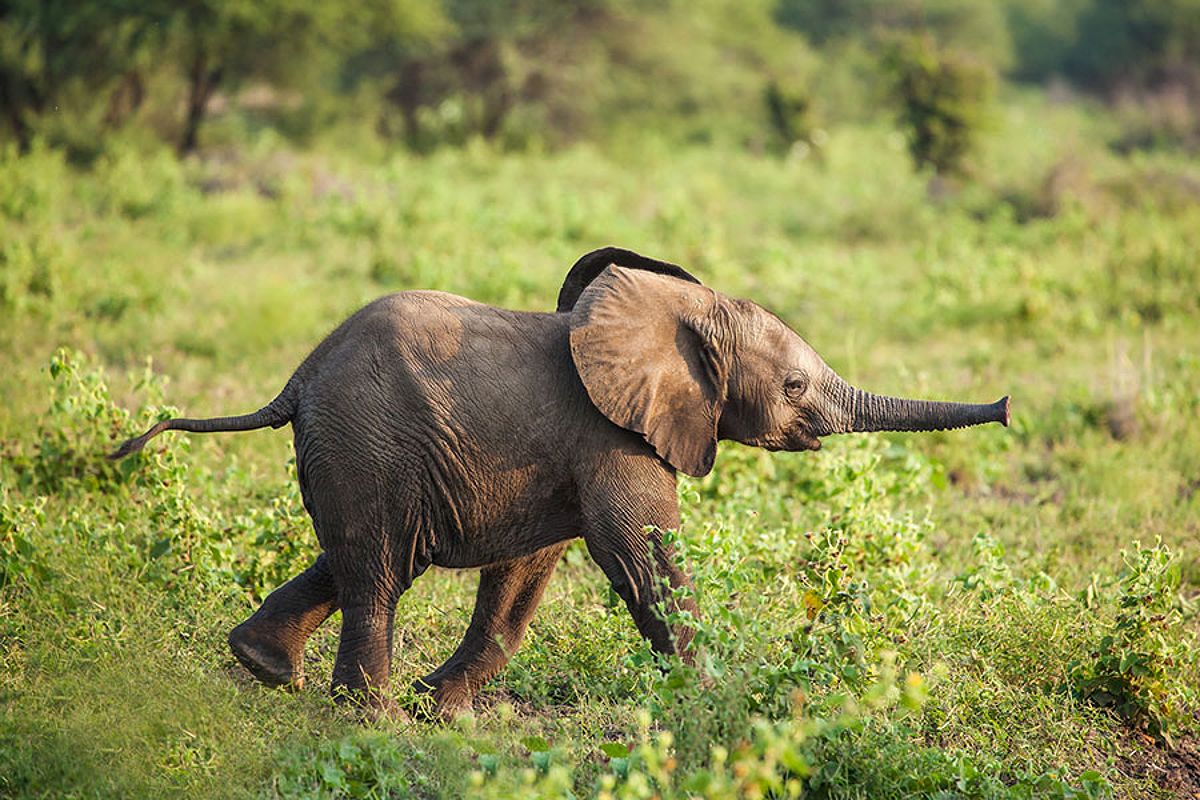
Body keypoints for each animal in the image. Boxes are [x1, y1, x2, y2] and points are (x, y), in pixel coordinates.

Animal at [114, 247, 1012, 714]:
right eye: (793, 386)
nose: (1007, 407)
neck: (679, 311)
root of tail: (298, 379)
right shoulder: (611, 437)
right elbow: (638, 553)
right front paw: (716, 706)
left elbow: (526, 572)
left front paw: (444, 709)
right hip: (368, 442)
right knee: (378, 570)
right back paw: (366, 722)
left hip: (358, 450)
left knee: (357, 556)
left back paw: (267, 667)